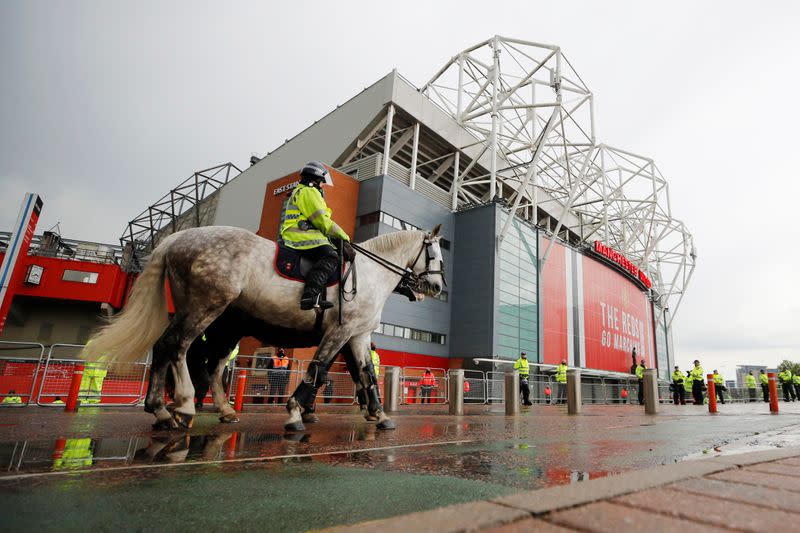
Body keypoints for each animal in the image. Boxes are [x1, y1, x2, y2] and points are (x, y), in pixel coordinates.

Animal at [84, 222, 446, 430]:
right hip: (206, 306)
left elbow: (366, 374)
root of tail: (177, 238)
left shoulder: (358, 335)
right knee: (179, 347)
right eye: (435, 256)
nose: (437, 287)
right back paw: (183, 405)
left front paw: (380, 415)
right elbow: (319, 367)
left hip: (211, 319)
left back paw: (176, 410)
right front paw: (297, 411)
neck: (371, 272)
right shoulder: (341, 331)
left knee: (192, 356)